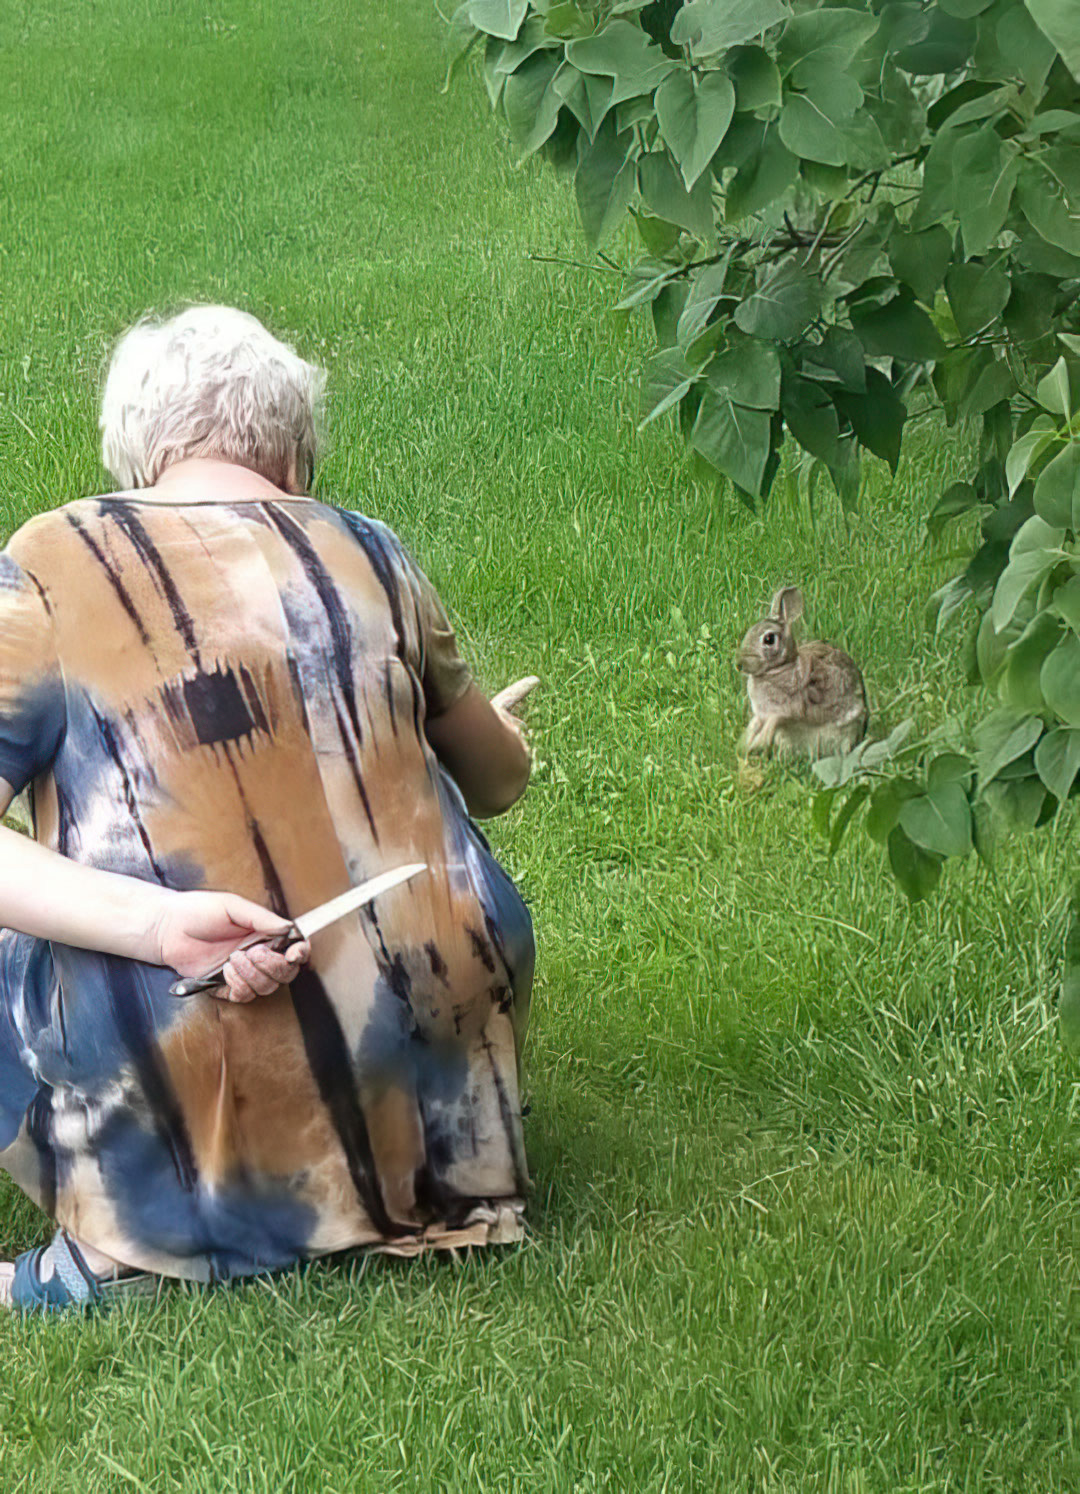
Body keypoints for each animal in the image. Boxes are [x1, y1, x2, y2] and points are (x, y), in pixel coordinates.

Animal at [735, 587, 867, 759]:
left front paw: (757, 743)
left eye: (769, 639)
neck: (780, 668)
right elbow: (755, 724)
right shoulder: (762, 715)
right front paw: (744, 745)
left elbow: (775, 721)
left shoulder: (789, 709)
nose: (739, 665)